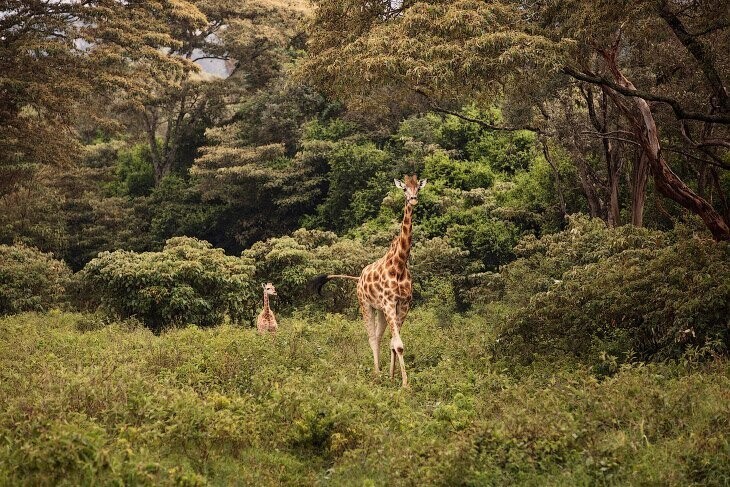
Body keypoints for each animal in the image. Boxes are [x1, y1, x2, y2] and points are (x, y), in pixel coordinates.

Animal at [310, 173, 424, 386]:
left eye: (418, 188)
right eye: (404, 189)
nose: (413, 200)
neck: (399, 264)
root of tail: (359, 277)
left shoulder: (404, 304)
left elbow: (394, 343)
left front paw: (394, 377)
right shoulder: (389, 303)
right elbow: (399, 344)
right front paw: (405, 384)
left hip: (380, 309)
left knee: (379, 337)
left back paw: (384, 374)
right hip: (365, 304)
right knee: (372, 337)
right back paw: (376, 374)